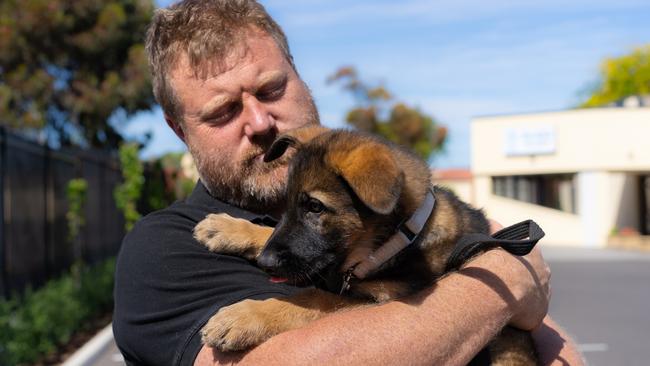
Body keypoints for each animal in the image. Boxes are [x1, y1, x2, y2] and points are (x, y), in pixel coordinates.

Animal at [194, 125, 536, 364]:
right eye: (287, 204)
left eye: (315, 207)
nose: (266, 264)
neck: (399, 238)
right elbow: (272, 235)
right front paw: (227, 228)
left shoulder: (377, 299)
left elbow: (311, 300)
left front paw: (243, 317)